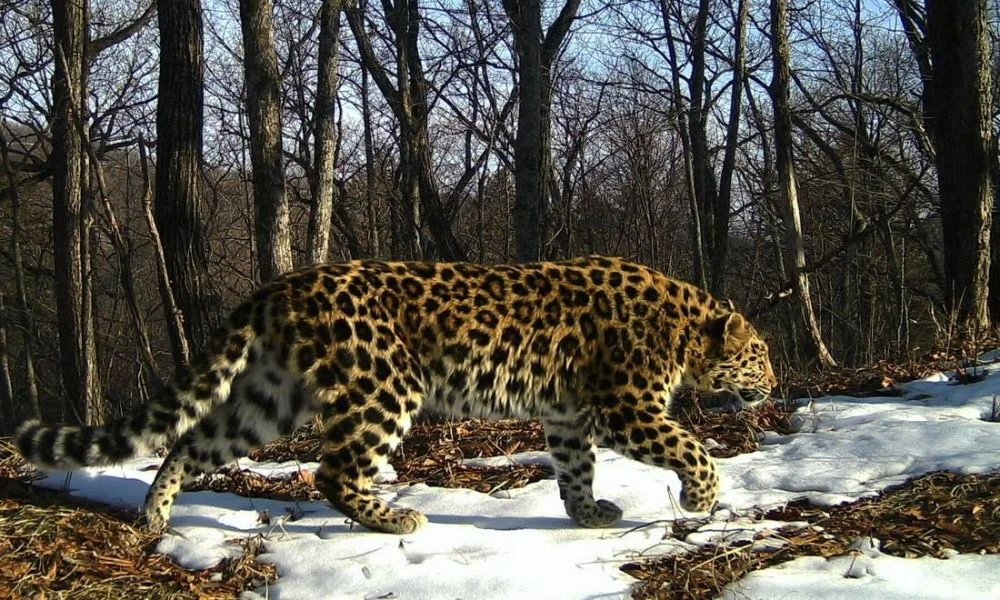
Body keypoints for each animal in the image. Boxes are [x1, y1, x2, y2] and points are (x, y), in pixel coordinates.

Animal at [17, 256, 776, 535]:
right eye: (761, 354)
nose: (774, 381)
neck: (685, 329)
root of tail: (279, 286)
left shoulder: (568, 417)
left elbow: (574, 469)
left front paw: (588, 514)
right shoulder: (628, 408)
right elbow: (692, 446)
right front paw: (703, 498)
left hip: (270, 398)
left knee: (189, 442)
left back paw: (154, 515)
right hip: (386, 384)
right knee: (332, 471)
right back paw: (395, 519)